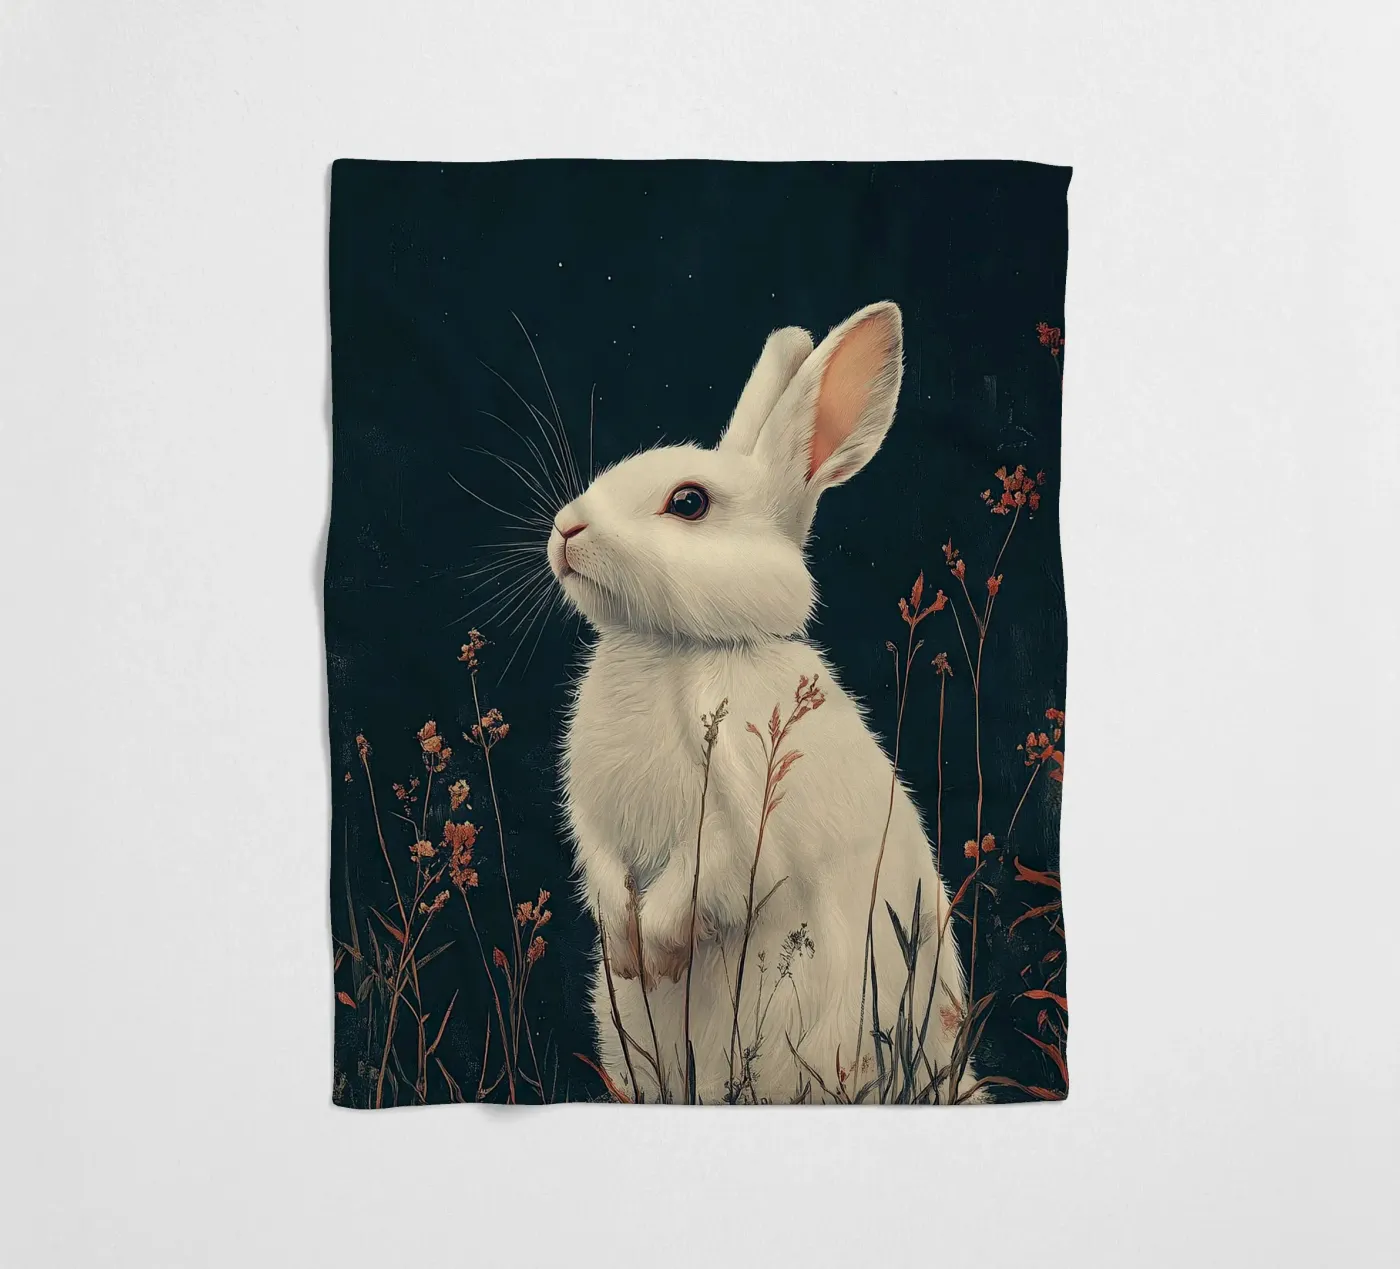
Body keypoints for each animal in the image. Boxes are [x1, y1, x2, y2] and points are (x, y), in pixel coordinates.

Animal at [548, 302, 974, 1104]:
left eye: (689, 502)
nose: (566, 529)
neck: (671, 645)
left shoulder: (743, 819)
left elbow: (705, 875)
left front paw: (655, 950)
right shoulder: (592, 813)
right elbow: (600, 860)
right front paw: (623, 947)